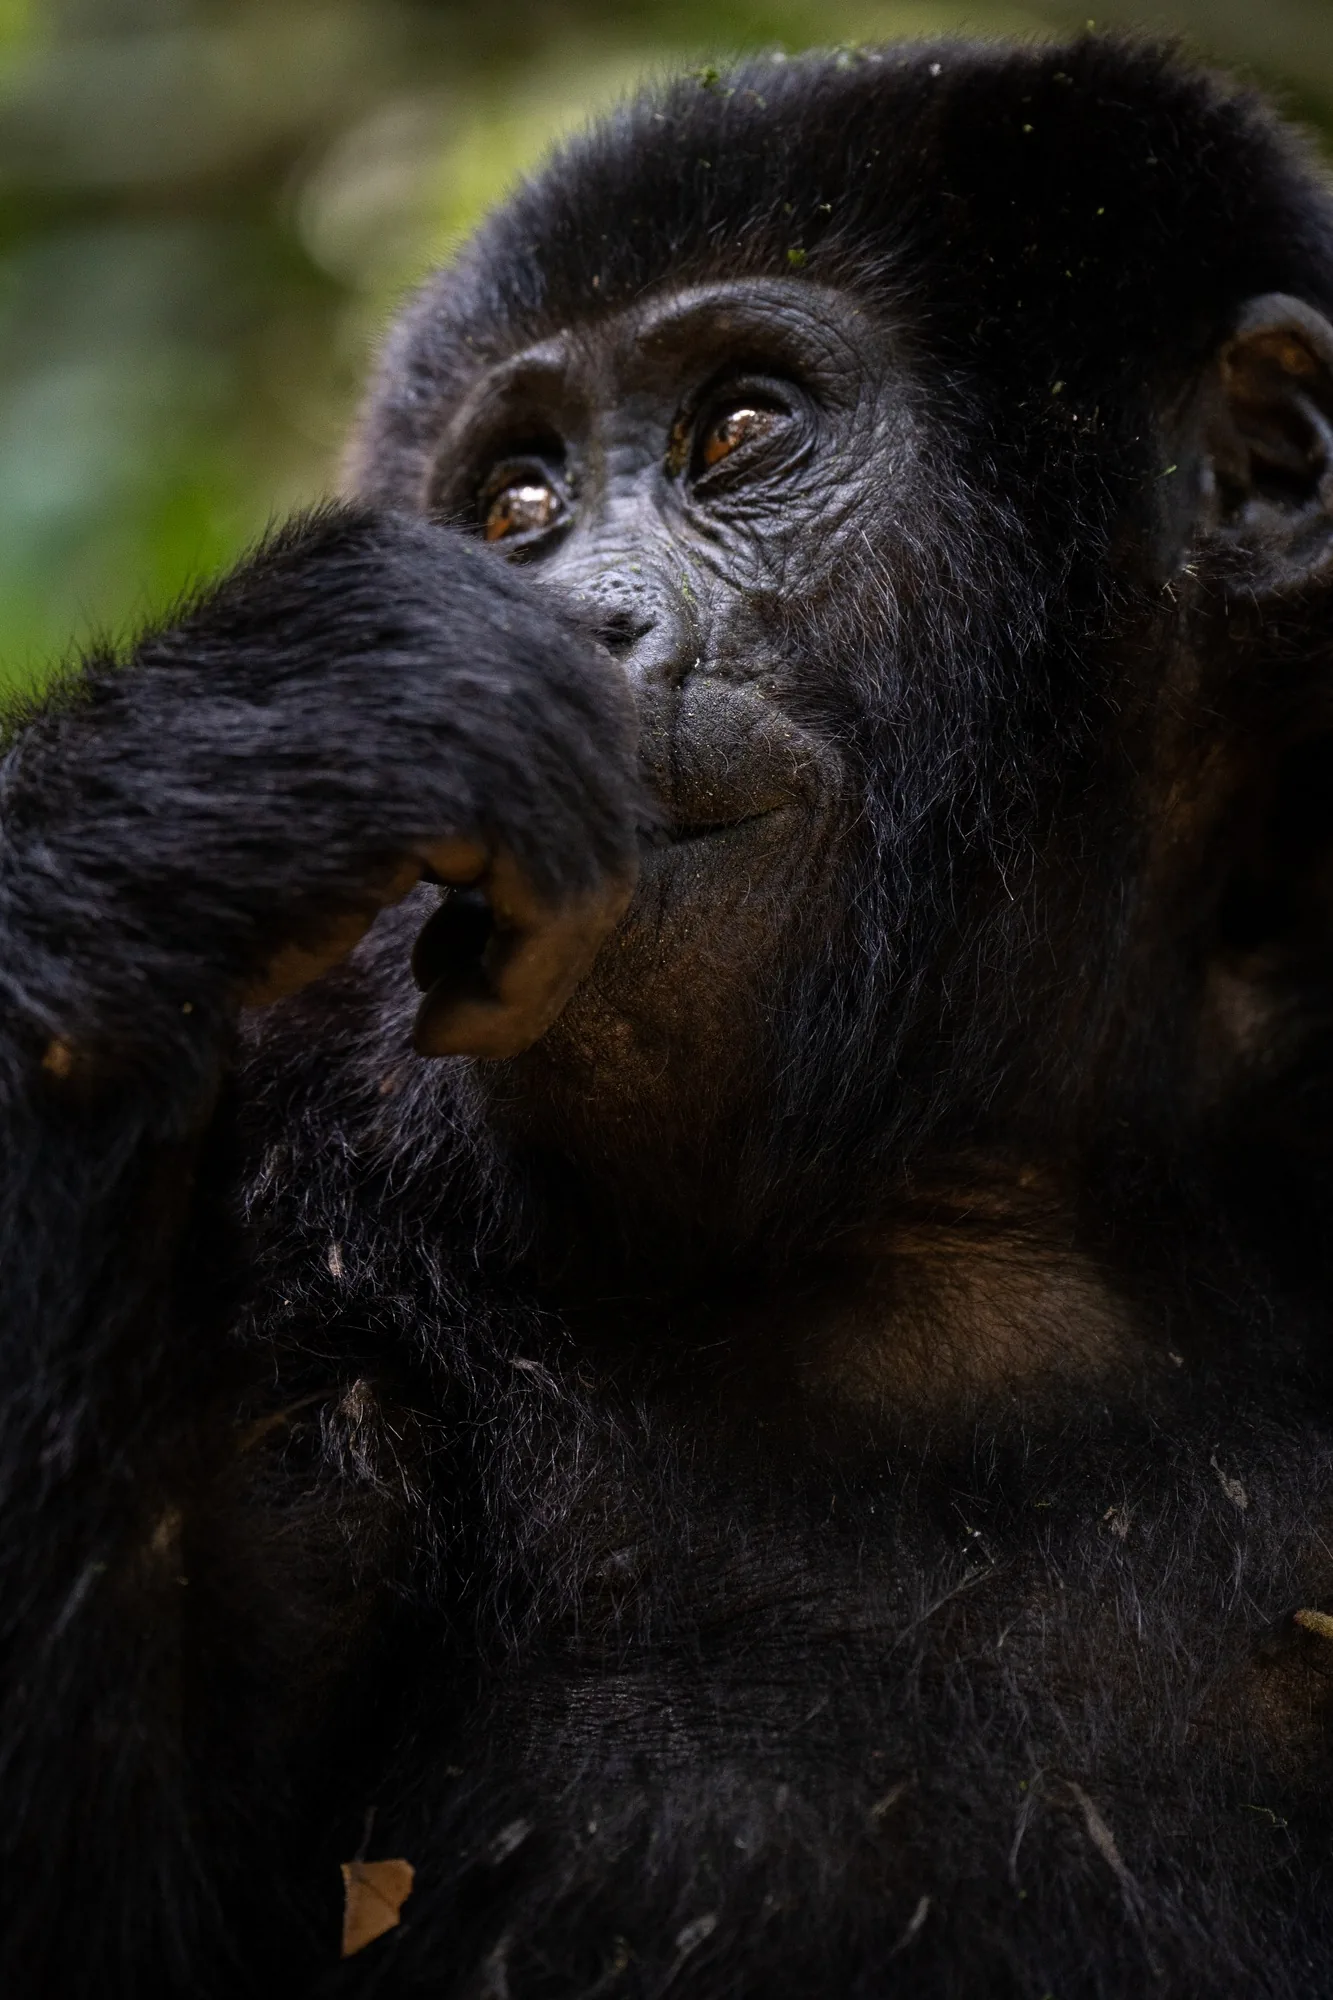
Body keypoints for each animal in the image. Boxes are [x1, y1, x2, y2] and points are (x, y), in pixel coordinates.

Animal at [3, 30, 1333, 1999]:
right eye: (517, 508)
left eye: (741, 434)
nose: (585, 617)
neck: (981, 1198)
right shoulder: (307, 1178)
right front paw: (258, 739)